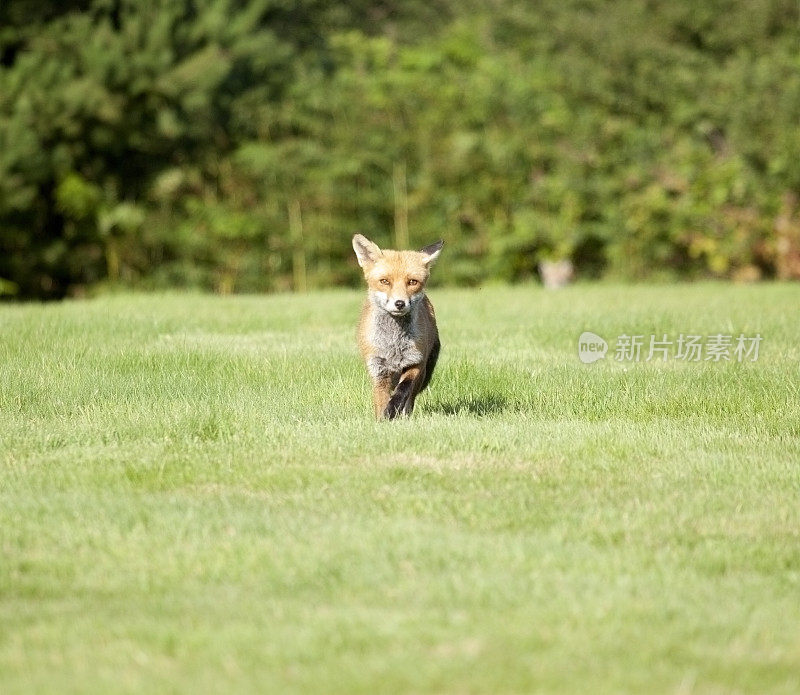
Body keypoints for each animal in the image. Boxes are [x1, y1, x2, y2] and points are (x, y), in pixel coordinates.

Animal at [354, 235, 444, 418]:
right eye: (384, 281)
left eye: (412, 282)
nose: (400, 303)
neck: (394, 343)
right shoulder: (378, 369)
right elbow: (381, 400)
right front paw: (383, 418)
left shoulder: (415, 362)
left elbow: (403, 390)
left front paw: (393, 410)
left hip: (423, 371)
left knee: (410, 398)